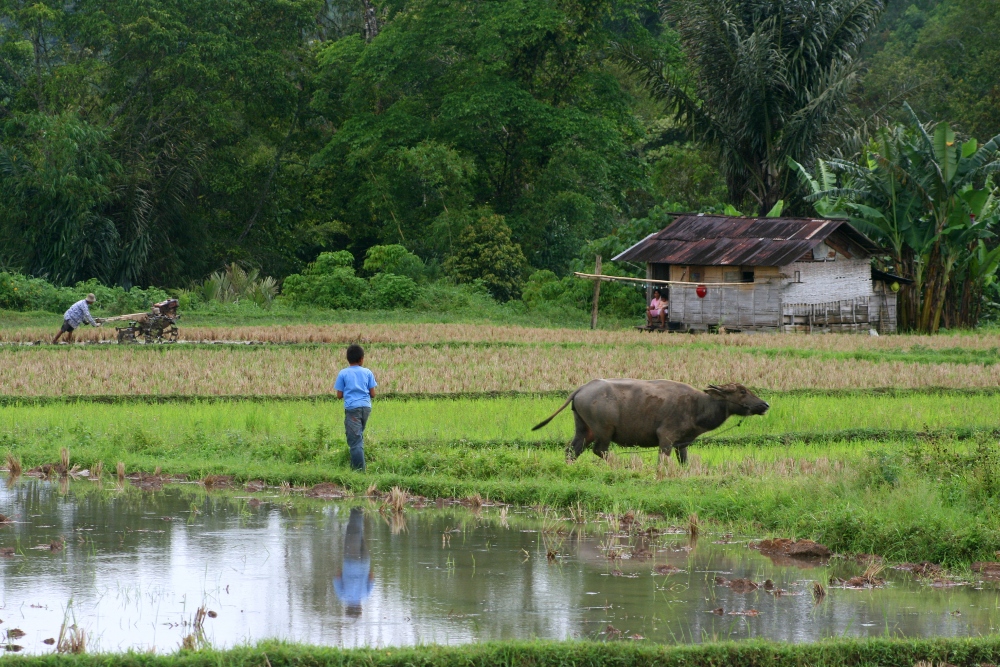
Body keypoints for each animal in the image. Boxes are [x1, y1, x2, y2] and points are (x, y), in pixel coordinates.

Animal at [536, 380, 768, 464]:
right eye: (742, 391)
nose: (764, 404)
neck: (698, 406)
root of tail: (582, 388)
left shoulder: (682, 443)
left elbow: (683, 461)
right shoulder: (665, 437)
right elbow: (662, 460)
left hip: (584, 429)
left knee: (572, 449)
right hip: (604, 430)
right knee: (599, 450)